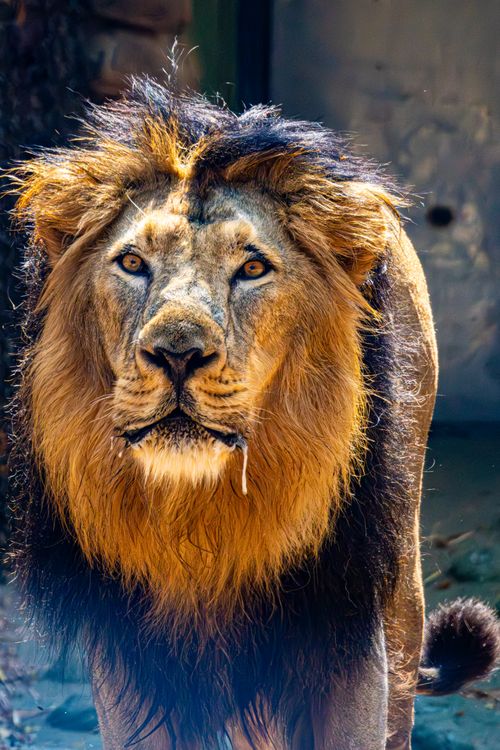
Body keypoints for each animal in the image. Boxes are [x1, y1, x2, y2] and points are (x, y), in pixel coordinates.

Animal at [9, 79, 499, 750]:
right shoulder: (128, 650)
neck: (203, 508)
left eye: (253, 267)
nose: (178, 353)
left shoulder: (345, 621)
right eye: (132, 263)